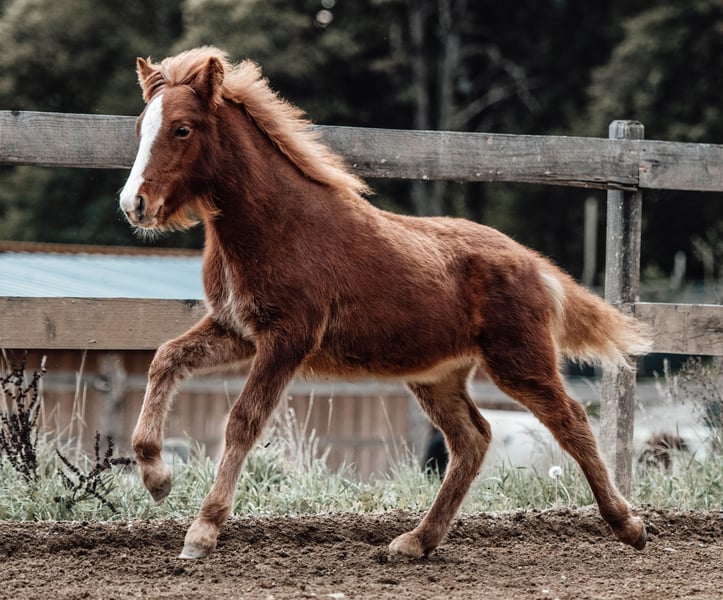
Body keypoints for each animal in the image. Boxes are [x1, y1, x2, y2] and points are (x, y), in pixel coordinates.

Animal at [119, 47, 652, 560]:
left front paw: (202, 531)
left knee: (571, 421)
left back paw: (629, 525)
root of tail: (536, 266)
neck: (277, 225)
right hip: (437, 375)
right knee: (473, 438)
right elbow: (166, 359)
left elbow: (242, 421)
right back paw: (416, 541)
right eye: (140, 127)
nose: (133, 204)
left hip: (519, 361)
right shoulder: (237, 330)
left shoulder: (287, 338)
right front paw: (157, 478)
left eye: (182, 128)